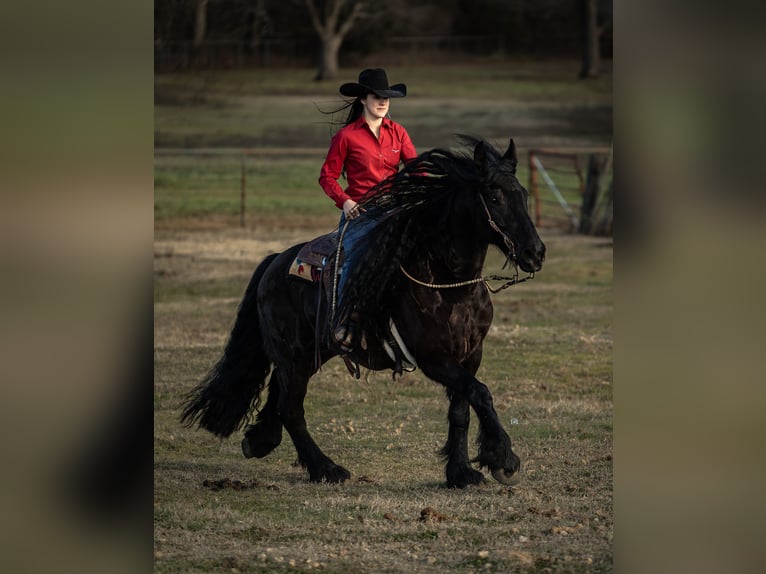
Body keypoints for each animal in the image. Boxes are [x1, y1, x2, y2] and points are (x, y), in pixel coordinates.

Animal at [182, 136, 544, 490]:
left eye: (524, 195)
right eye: (494, 196)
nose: (535, 252)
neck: (450, 285)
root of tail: (275, 262)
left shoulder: (470, 353)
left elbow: (462, 408)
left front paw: (462, 473)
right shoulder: (433, 357)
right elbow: (480, 393)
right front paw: (504, 460)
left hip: (305, 355)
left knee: (278, 396)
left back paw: (261, 441)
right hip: (295, 355)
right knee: (291, 408)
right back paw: (326, 469)